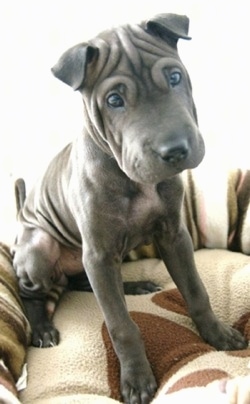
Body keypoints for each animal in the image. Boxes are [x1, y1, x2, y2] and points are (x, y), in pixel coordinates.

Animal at [11, 12, 246, 404]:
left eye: (175, 77)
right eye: (114, 99)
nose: (175, 150)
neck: (133, 177)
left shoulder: (174, 235)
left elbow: (196, 291)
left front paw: (217, 334)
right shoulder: (99, 252)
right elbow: (120, 325)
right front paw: (136, 379)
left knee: (82, 282)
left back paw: (132, 287)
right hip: (42, 249)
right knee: (32, 291)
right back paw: (42, 328)